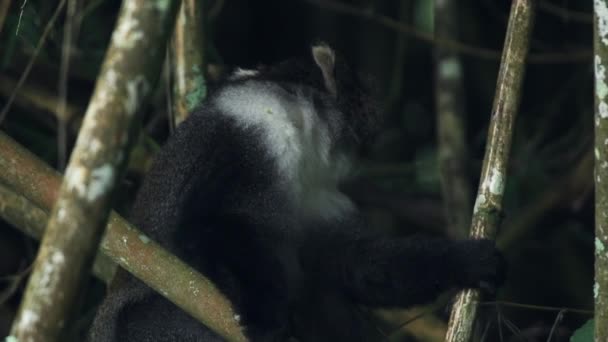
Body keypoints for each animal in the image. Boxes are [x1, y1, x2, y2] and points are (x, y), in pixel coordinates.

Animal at [88, 43, 506, 342]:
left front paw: (469, 261)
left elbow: (354, 264)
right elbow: (205, 222)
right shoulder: (260, 123)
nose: (361, 153)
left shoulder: (322, 201)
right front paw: (268, 318)